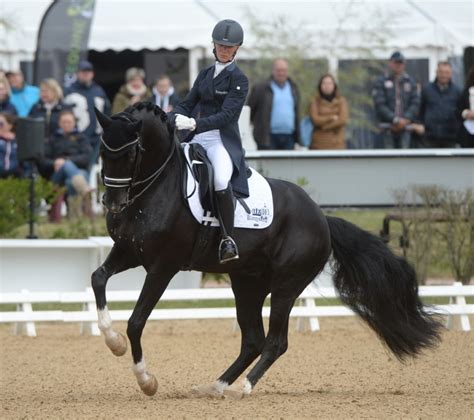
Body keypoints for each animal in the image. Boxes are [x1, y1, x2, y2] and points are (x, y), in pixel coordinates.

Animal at [91, 103, 440, 398]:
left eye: (131, 153)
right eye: (102, 151)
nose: (112, 203)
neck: (154, 188)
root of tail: (322, 218)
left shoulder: (164, 266)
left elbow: (136, 321)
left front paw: (146, 380)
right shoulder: (129, 251)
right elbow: (98, 279)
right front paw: (113, 342)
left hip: (286, 285)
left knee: (275, 342)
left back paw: (242, 388)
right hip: (248, 283)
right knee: (253, 340)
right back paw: (216, 386)